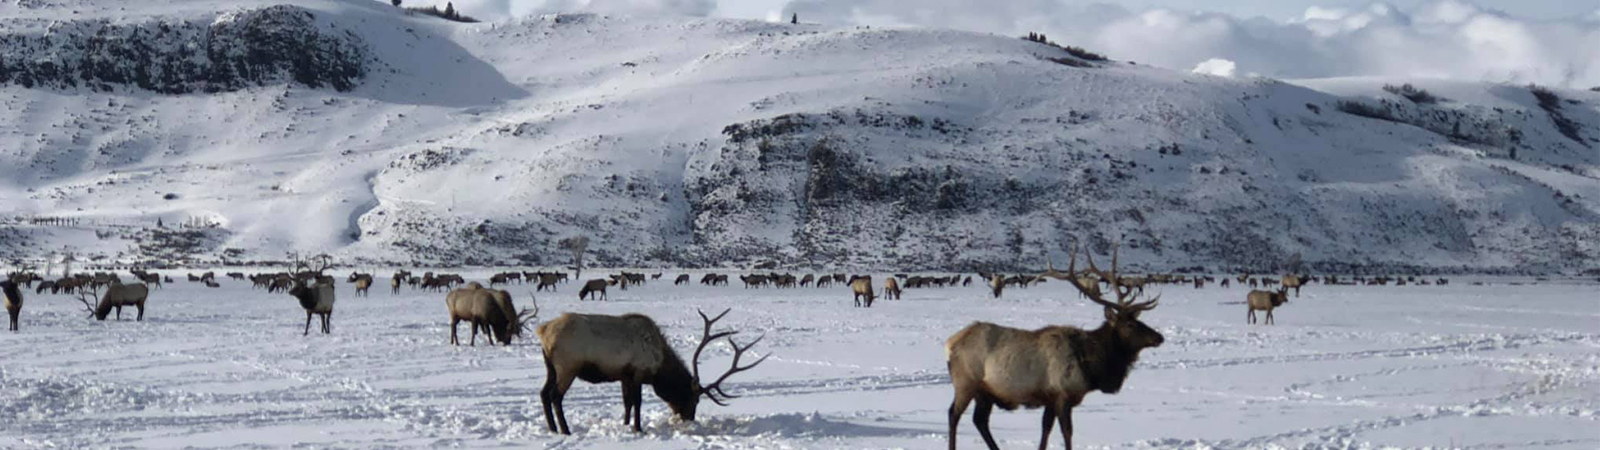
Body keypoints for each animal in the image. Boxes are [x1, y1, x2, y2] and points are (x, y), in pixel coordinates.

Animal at [534, 307, 771, 432]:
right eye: (694, 400)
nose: (689, 419)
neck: (660, 367)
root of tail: (542, 331)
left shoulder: (624, 375)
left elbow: (627, 402)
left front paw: (626, 425)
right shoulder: (639, 372)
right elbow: (637, 402)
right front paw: (638, 428)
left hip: (550, 367)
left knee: (543, 393)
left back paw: (552, 428)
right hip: (568, 366)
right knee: (555, 395)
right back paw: (565, 430)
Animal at [947, 241, 1164, 448]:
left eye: (1138, 320)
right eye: (1129, 324)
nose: (1159, 337)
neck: (1090, 365)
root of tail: (950, 344)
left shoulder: (1050, 398)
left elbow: (1046, 429)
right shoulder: (1062, 395)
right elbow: (1067, 432)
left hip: (985, 392)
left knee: (980, 420)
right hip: (966, 382)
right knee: (953, 415)